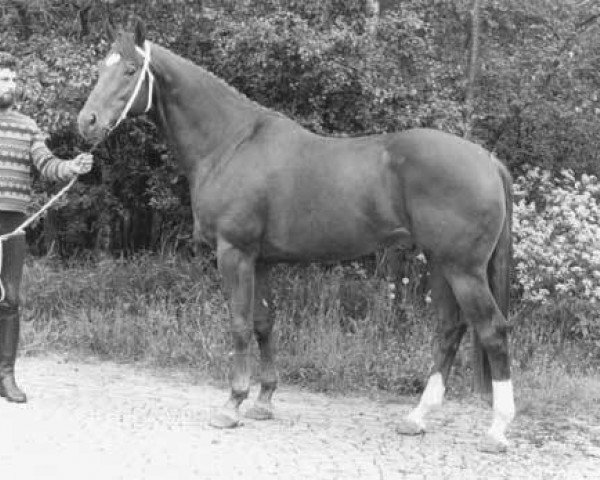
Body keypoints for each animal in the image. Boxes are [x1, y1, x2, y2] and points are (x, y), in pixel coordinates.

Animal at [76, 19, 516, 454]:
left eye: (130, 70)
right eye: (100, 66)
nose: (87, 122)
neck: (230, 143)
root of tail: (488, 159)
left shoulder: (234, 253)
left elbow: (239, 324)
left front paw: (232, 404)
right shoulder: (262, 260)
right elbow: (264, 323)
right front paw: (264, 400)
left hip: (463, 270)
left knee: (493, 331)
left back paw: (496, 430)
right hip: (442, 265)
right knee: (449, 330)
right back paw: (417, 418)